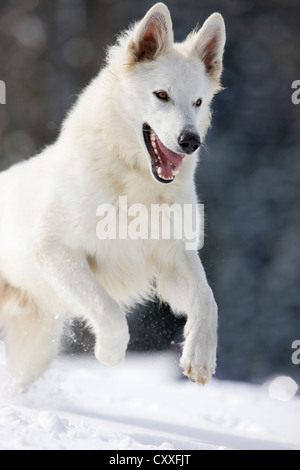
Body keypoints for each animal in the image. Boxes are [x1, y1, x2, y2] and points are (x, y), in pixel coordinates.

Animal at [0, 3, 225, 392]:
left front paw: (199, 356)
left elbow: (206, 299)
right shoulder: (57, 251)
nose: (190, 141)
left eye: (198, 102)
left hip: (35, 350)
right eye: (161, 95)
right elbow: (108, 308)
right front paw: (110, 352)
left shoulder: (172, 260)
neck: (132, 183)